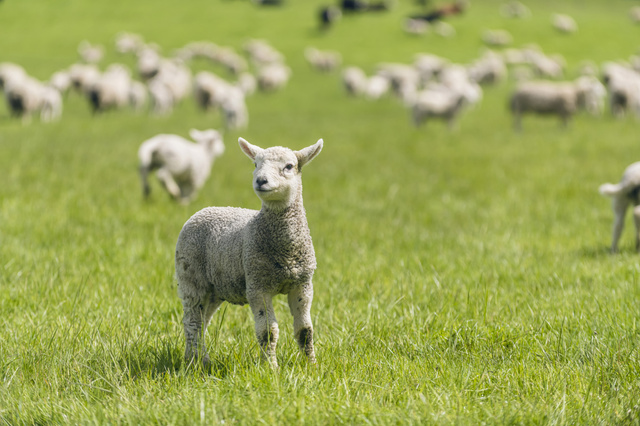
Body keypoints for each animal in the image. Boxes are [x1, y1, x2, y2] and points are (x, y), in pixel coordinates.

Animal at [175, 138, 322, 368]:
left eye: (289, 166)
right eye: (255, 164)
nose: (261, 181)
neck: (286, 252)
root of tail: (202, 210)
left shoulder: (303, 284)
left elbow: (305, 331)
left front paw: (311, 365)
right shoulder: (257, 285)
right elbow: (268, 332)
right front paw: (271, 367)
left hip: (215, 288)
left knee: (203, 321)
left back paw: (200, 358)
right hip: (191, 277)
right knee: (192, 322)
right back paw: (195, 361)